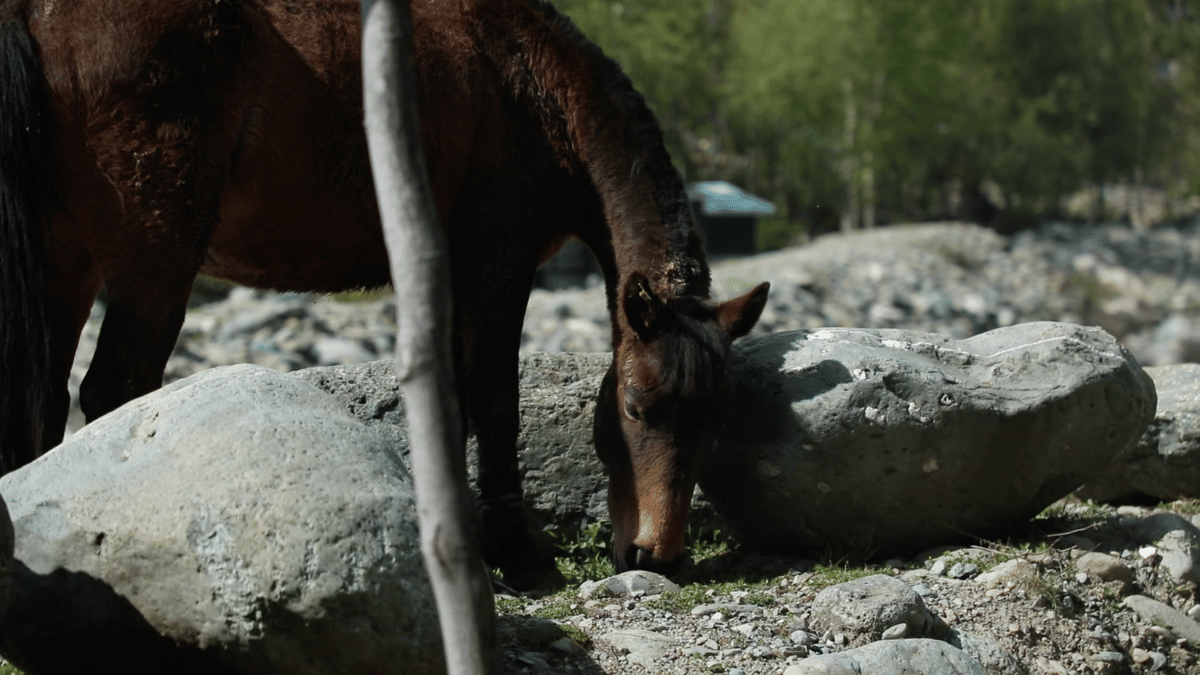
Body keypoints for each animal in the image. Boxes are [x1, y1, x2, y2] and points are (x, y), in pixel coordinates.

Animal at [0, 0, 769, 590]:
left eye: (715, 416)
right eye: (635, 406)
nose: (656, 554)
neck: (531, 81)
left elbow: (454, 403)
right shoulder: (495, 262)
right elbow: (494, 399)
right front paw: (517, 555)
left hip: (67, 267)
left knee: (43, 408)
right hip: (153, 260)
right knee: (115, 389)